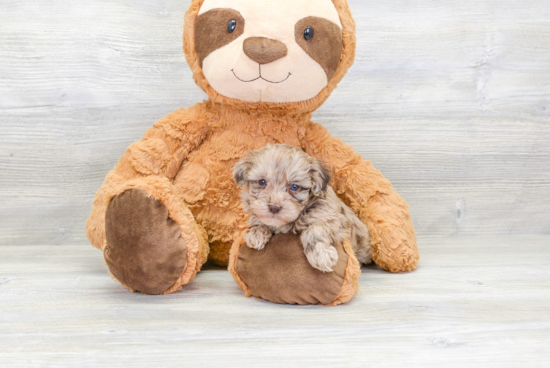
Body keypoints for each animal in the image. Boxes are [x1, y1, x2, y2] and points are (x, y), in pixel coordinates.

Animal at [231, 145, 374, 272]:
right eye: (262, 182)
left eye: (294, 187)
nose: (274, 208)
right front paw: (256, 232)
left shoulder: (335, 220)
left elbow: (314, 230)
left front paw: (321, 255)